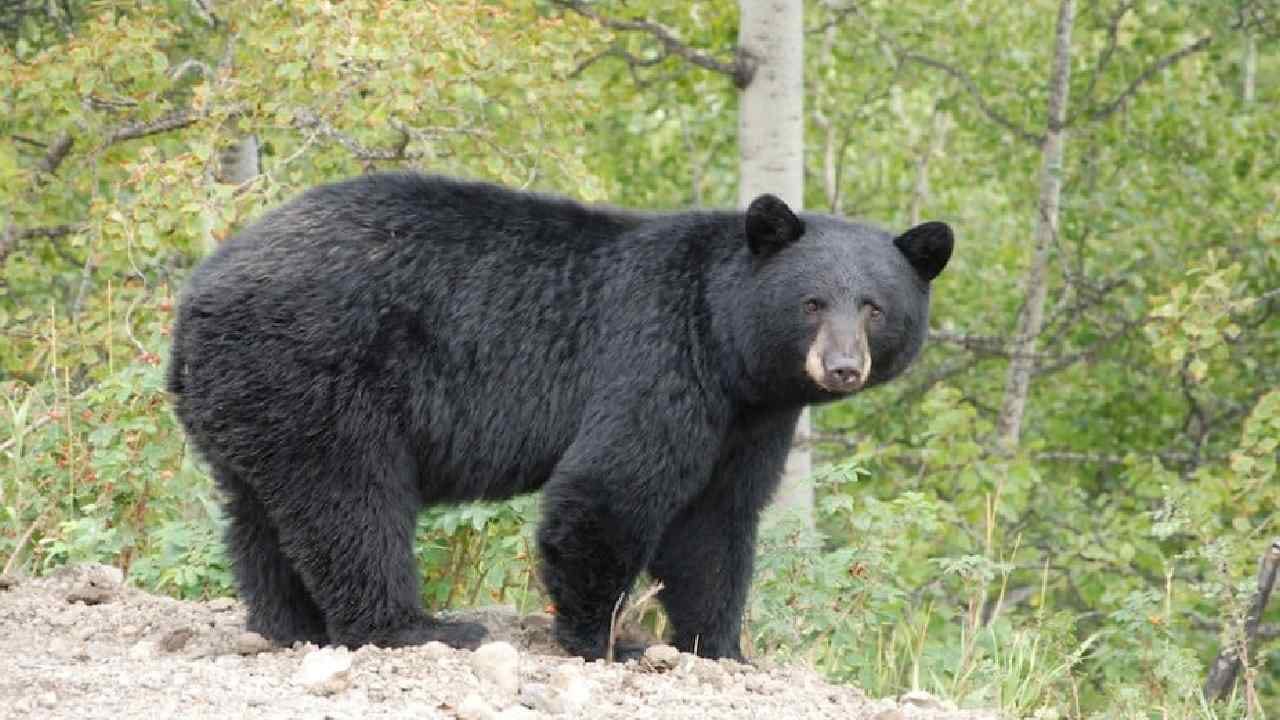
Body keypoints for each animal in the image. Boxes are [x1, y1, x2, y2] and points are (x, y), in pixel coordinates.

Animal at [167, 172, 952, 661]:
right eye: (812, 302)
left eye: (874, 307)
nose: (843, 367)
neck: (729, 346)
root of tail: (197, 296)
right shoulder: (658, 356)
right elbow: (609, 489)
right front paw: (609, 640)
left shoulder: (750, 419)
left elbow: (717, 522)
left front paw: (720, 646)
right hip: (321, 371)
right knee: (351, 502)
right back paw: (413, 627)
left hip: (252, 395)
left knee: (260, 515)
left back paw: (289, 624)